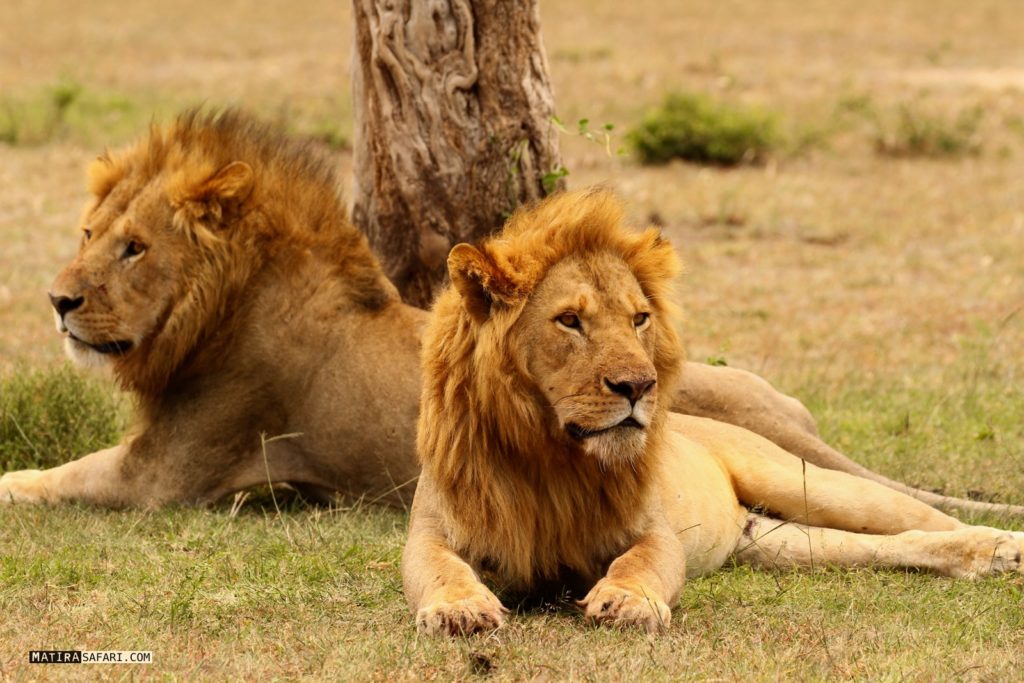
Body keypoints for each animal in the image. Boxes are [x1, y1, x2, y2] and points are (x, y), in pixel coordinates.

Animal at [4, 107, 1019, 516]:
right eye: (88, 231)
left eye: (133, 247)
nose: (58, 300)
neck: (224, 308)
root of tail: (801, 429)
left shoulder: (165, 476)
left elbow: (40, 479)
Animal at [401, 189, 1024, 638]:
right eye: (570, 321)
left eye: (639, 319)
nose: (640, 385)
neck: (550, 456)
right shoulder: (431, 529)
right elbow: (438, 568)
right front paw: (458, 610)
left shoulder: (653, 529)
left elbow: (642, 561)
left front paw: (627, 602)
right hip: (780, 545)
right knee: (892, 546)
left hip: (805, 482)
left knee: (925, 518)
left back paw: (1002, 547)